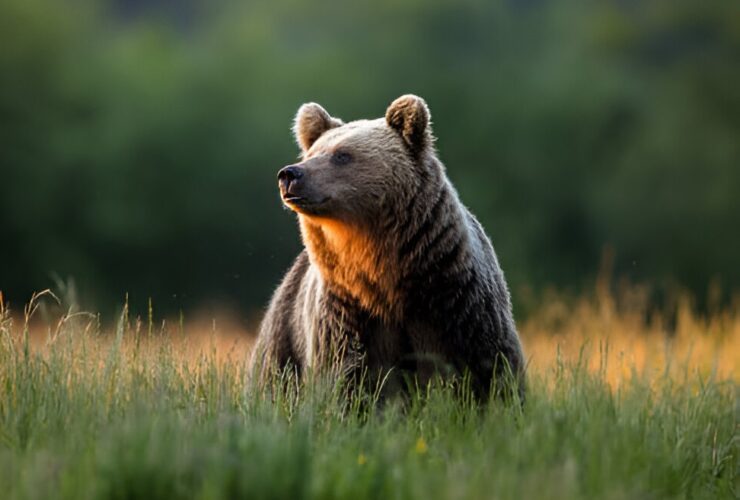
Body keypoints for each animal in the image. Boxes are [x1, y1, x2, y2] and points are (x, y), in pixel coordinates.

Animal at [249, 94, 525, 401]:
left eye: (341, 155)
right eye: (311, 154)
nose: (289, 174)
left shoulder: (455, 303)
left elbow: (490, 370)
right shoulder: (347, 314)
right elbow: (345, 380)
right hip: (284, 334)